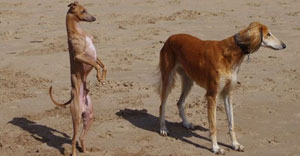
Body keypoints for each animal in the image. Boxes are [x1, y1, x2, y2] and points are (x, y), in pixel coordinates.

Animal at [48, 1, 106, 156]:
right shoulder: (80, 56)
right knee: (73, 139)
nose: (95, 18)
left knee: (81, 137)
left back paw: (85, 151)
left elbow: (102, 65)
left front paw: (103, 77)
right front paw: (99, 76)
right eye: (83, 11)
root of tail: (74, 97)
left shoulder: (94, 56)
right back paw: (74, 152)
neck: (79, 32)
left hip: (89, 117)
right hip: (76, 118)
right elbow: (96, 66)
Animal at [157, 21, 286, 154]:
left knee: (180, 102)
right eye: (268, 34)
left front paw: (235, 144)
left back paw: (186, 123)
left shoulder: (227, 94)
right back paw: (163, 129)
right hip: (168, 79)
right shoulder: (211, 95)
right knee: (162, 106)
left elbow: (231, 123)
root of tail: (170, 38)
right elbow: (213, 126)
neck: (233, 52)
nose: (284, 45)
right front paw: (215, 147)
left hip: (188, 81)